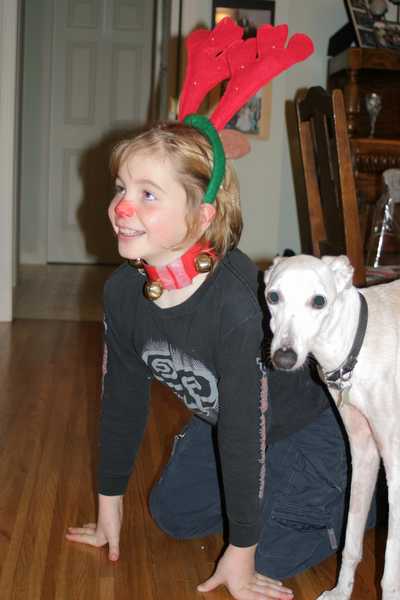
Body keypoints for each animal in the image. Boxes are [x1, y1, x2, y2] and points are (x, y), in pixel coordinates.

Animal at [264, 254, 400, 600]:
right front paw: (340, 592)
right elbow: (350, 542)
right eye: (273, 296)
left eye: (319, 301)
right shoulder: (364, 455)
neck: (358, 345)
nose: (284, 359)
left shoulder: (397, 472)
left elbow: (391, 574)